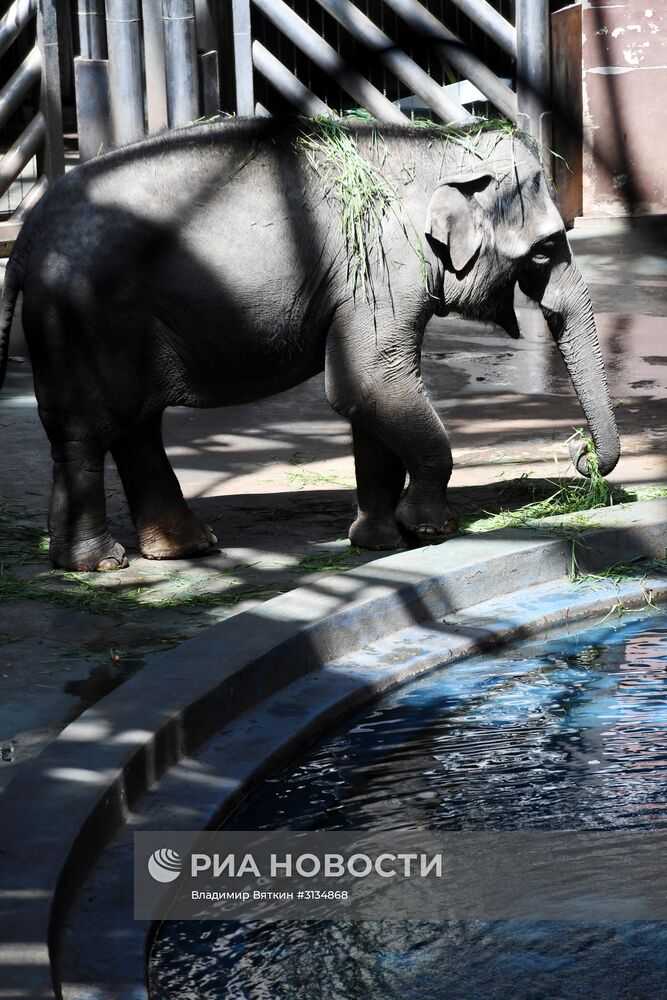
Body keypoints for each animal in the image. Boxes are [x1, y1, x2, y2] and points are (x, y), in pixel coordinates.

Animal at [0, 115, 620, 572]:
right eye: (544, 250)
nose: (580, 455)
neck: (437, 146)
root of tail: (29, 232)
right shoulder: (385, 266)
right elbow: (370, 382)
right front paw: (430, 528)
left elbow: (370, 392)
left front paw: (377, 541)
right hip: (82, 317)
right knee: (88, 428)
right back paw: (100, 564)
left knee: (134, 424)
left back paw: (183, 548)